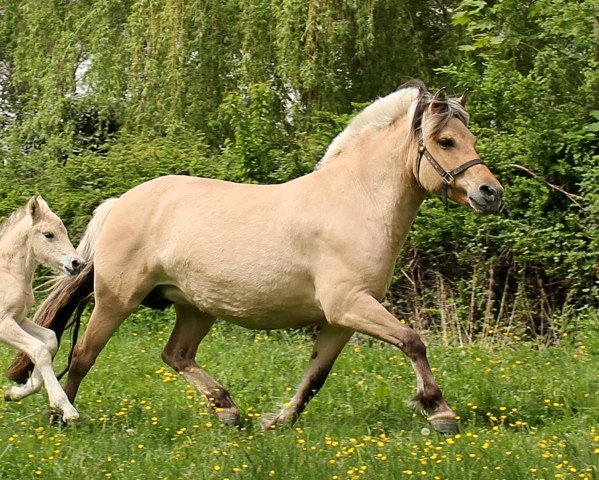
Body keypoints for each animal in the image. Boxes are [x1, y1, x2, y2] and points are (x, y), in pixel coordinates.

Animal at [0, 195, 85, 424]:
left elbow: (49, 341)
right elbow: (39, 350)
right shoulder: (4, 323)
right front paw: (66, 409)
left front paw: (16, 392)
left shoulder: (19, 318)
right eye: (49, 235)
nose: (77, 263)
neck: (8, 273)